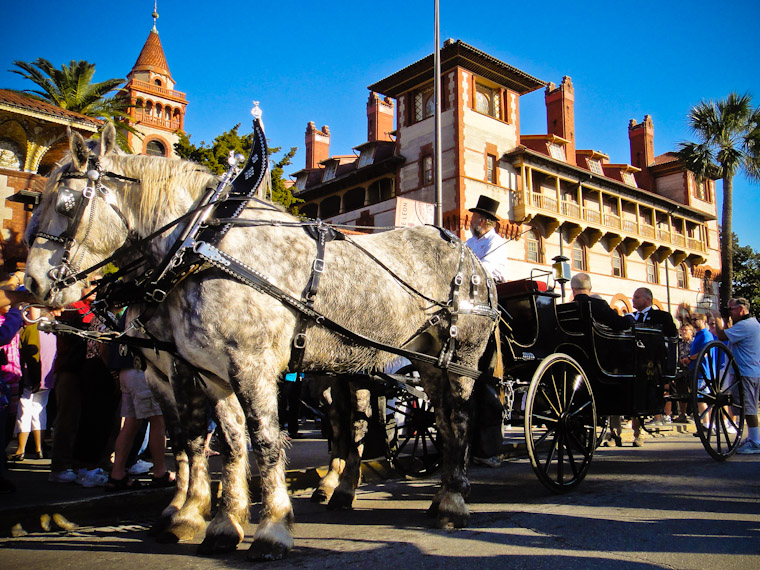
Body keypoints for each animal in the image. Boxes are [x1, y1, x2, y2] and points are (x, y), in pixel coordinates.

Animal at [23, 124, 498, 560]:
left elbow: (261, 441)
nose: (33, 284)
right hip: (406, 361)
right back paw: (398, 492)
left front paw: (270, 528)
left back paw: (452, 501)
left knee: (454, 418)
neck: (204, 244)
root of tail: (465, 253)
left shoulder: (245, 365)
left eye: (67, 205)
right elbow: (224, 443)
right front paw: (215, 522)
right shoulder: (206, 371)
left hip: (457, 357)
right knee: (405, 420)